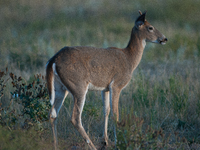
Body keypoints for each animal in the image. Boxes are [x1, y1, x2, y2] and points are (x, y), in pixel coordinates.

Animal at [45, 9, 167, 149]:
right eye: (150, 27)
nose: (164, 38)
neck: (129, 59)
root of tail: (53, 59)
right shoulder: (117, 85)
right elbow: (115, 114)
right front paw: (118, 142)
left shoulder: (105, 88)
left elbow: (106, 111)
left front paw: (106, 141)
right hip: (78, 86)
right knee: (75, 118)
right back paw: (92, 146)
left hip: (60, 87)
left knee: (53, 114)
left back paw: (56, 145)